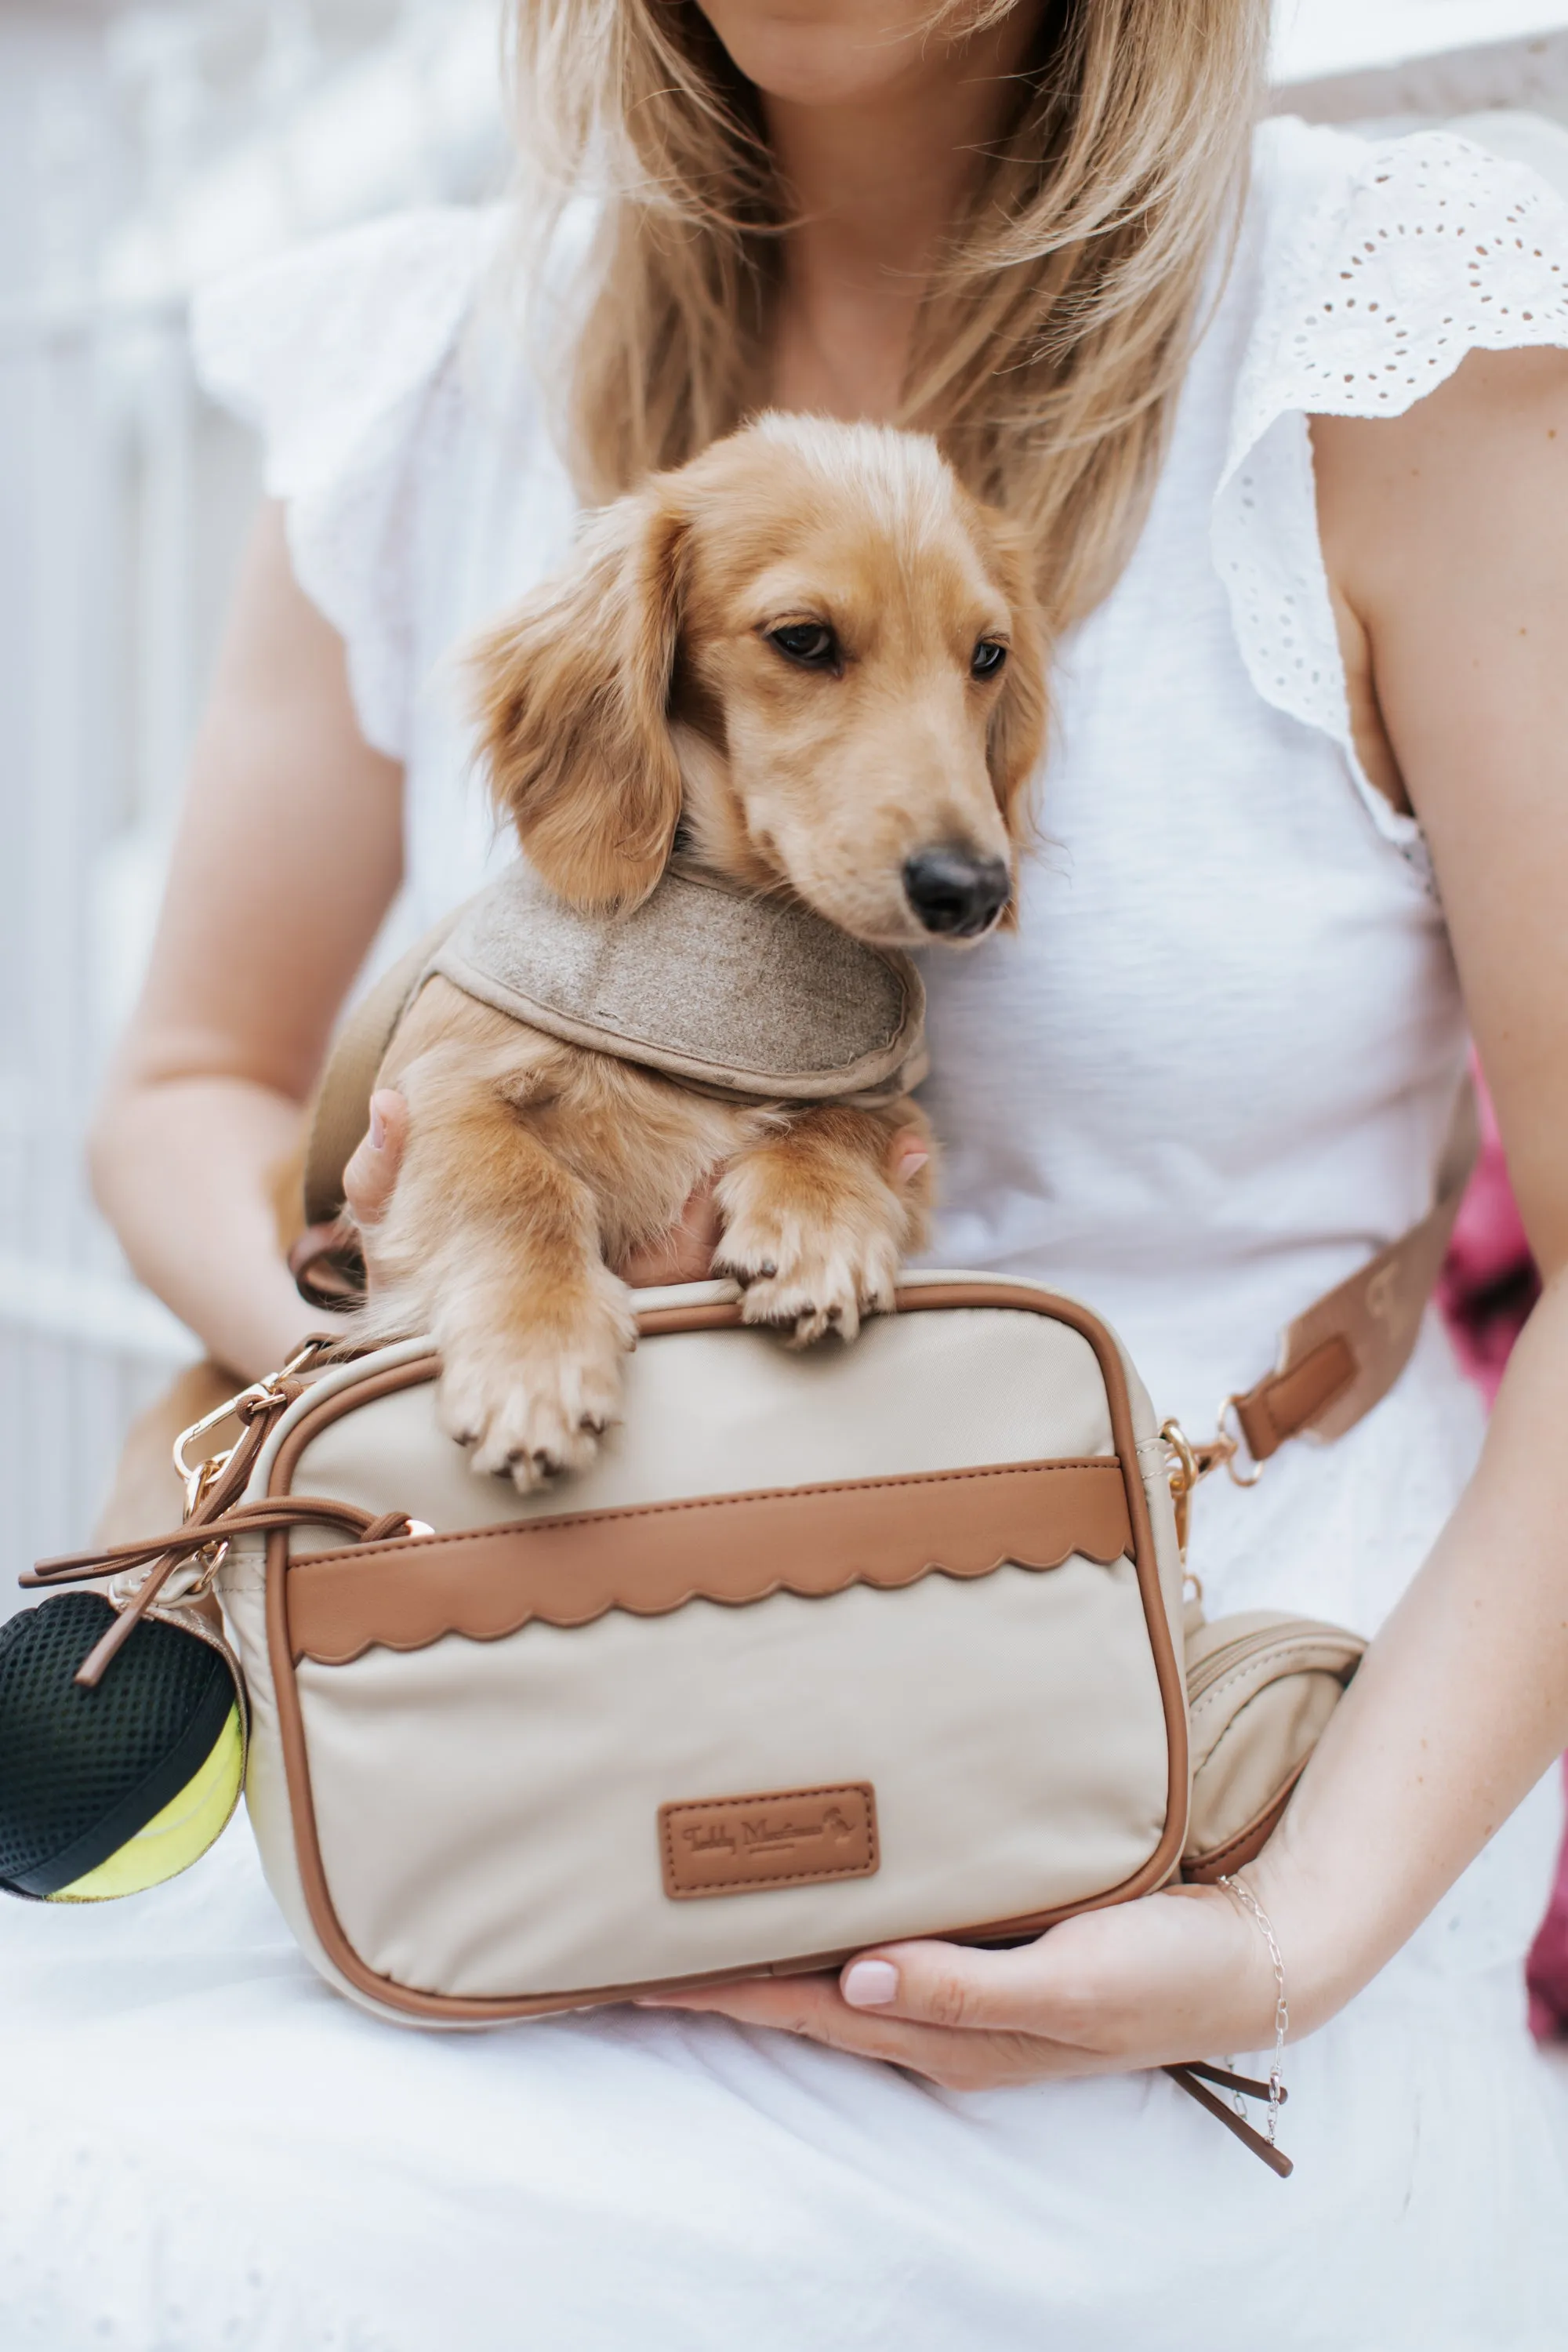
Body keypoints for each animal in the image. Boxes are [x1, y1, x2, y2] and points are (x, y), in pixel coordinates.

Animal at [354, 414, 1044, 1486]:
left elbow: (842, 1118)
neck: (737, 915)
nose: (971, 891)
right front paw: (533, 1349)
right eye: (802, 639)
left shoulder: (890, 1110)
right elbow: (511, 1183)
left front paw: (817, 1218)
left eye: (985, 655)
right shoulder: (438, 1082)